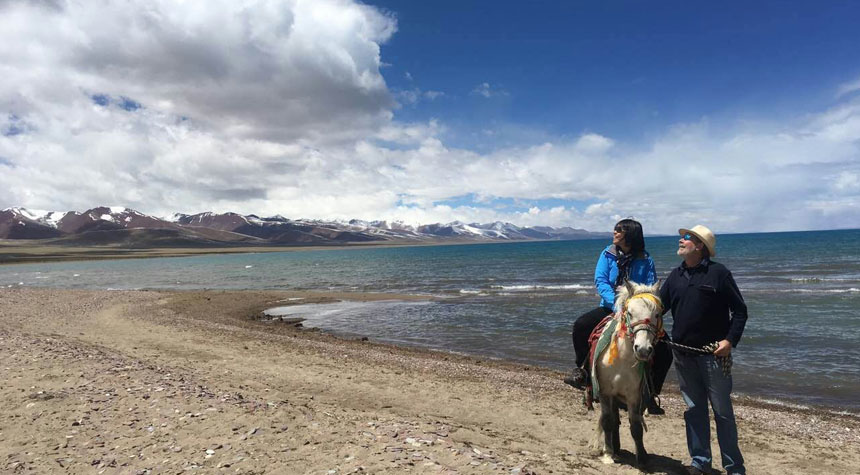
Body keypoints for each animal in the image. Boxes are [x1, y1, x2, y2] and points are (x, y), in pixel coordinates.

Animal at [592, 280, 664, 466]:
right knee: (612, 420)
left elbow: (636, 426)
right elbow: (607, 421)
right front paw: (608, 454)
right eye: (630, 312)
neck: (622, 359)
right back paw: (613, 449)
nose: (643, 350)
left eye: (657, 314)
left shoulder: (634, 395)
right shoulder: (605, 392)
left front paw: (642, 458)